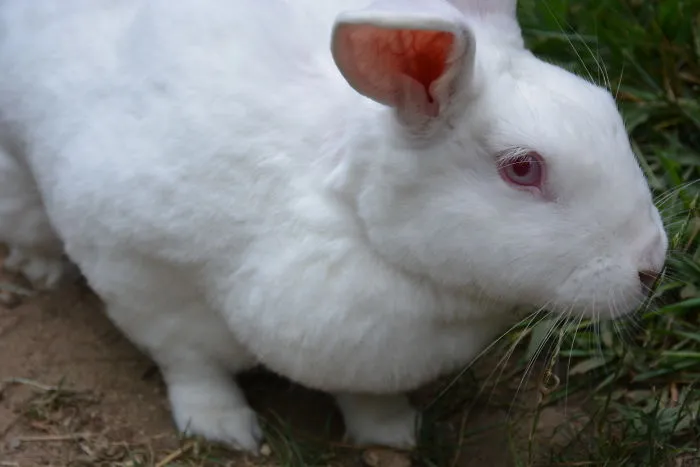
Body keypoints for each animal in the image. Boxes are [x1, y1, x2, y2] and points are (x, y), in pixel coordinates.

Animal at [0, 0, 667, 453]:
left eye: (606, 110)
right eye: (522, 168)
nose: (652, 267)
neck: (356, 222)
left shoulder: (366, 358)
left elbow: (366, 396)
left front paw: (394, 432)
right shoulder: (144, 273)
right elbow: (189, 362)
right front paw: (221, 428)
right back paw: (42, 268)